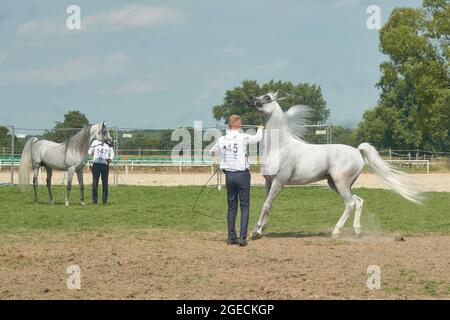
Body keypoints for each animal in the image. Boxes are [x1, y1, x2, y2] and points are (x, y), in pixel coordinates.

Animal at [246, 91, 422, 239]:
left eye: (267, 97)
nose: (250, 98)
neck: (280, 148)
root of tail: (358, 151)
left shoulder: (279, 182)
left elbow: (266, 205)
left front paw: (255, 232)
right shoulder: (268, 182)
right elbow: (267, 205)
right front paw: (262, 230)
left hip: (341, 183)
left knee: (350, 203)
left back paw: (336, 232)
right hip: (336, 184)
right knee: (359, 201)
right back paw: (357, 231)